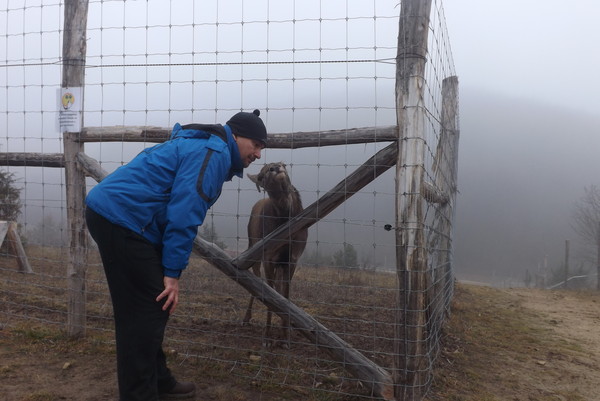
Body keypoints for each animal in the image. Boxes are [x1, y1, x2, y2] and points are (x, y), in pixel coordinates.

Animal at [242, 162, 308, 348]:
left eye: (283, 163)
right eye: (261, 175)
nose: (275, 167)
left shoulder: (293, 259)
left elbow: (284, 295)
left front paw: (285, 337)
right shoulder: (268, 257)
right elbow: (269, 295)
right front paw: (267, 337)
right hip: (253, 247)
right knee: (256, 281)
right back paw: (246, 318)